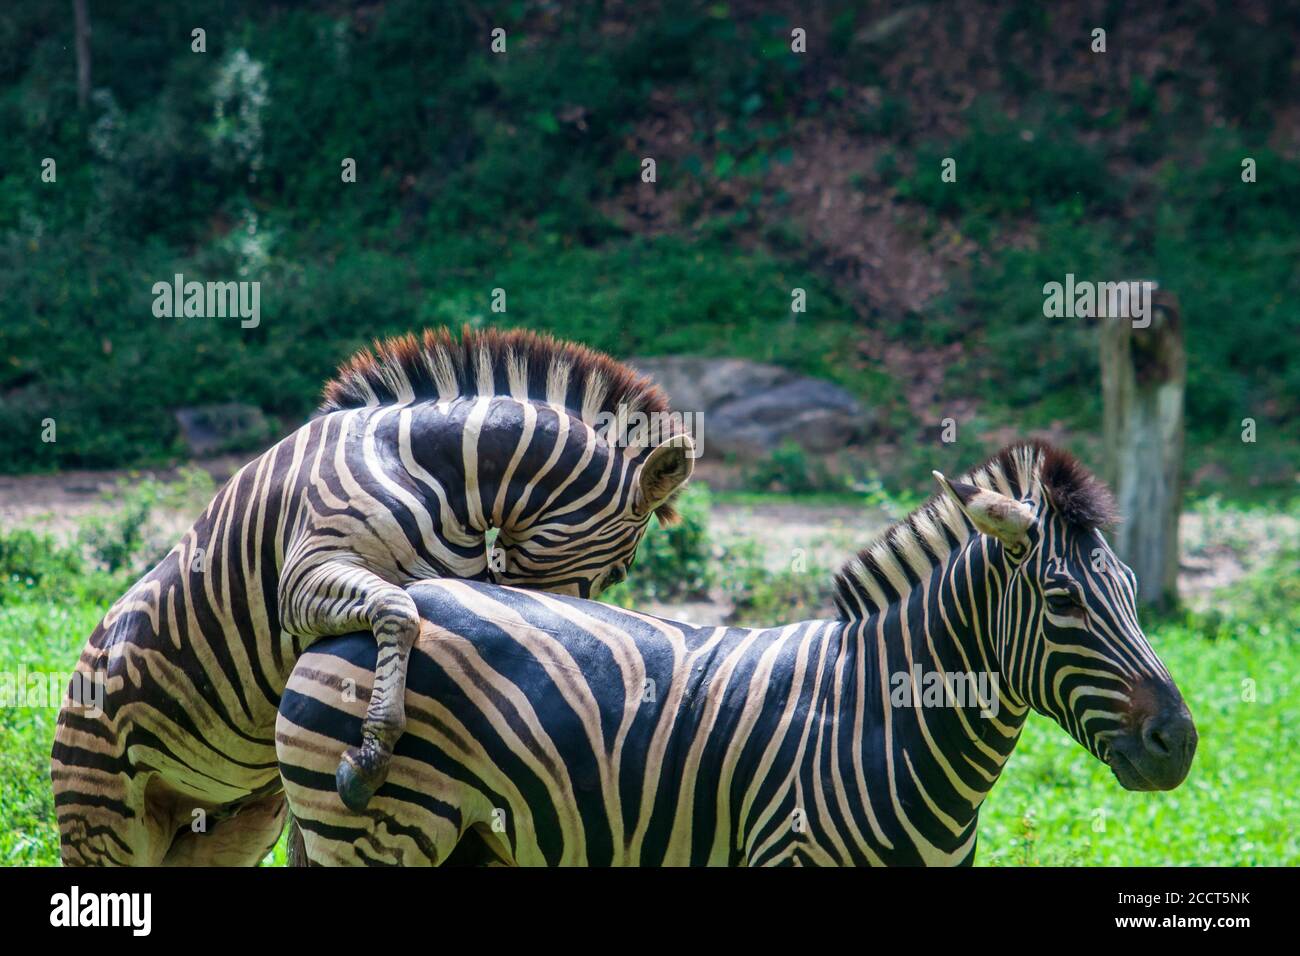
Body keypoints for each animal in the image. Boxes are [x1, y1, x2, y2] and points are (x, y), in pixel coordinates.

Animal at [50, 327, 696, 868]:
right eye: (620, 569)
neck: (437, 475)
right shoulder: (305, 577)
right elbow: (399, 613)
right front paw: (370, 756)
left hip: (230, 826)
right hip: (104, 817)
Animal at [276, 442, 1196, 868]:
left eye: (1134, 591)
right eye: (1063, 601)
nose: (1179, 744)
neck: (885, 721)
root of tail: (364, 613)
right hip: (371, 837)